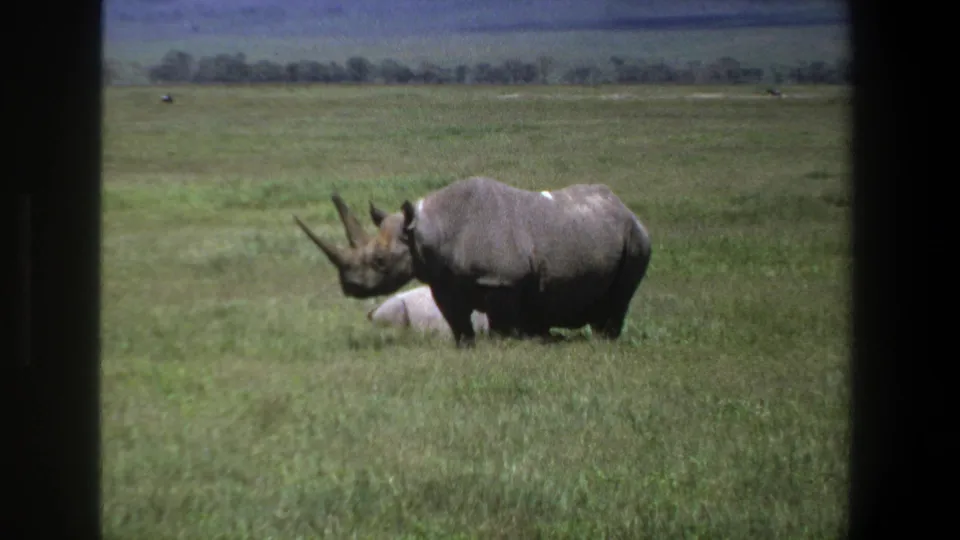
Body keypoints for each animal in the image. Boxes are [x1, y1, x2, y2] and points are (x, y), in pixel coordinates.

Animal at [294, 176, 652, 347]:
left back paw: (604, 342)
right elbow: (458, 324)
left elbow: (503, 324)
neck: (426, 229)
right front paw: (467, 347)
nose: (349, 286)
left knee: (620, 298)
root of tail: (625, 208)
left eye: (380, 261)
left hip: (636, 240)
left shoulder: (502, 280)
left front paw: (508, 345)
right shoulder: (443, 281)